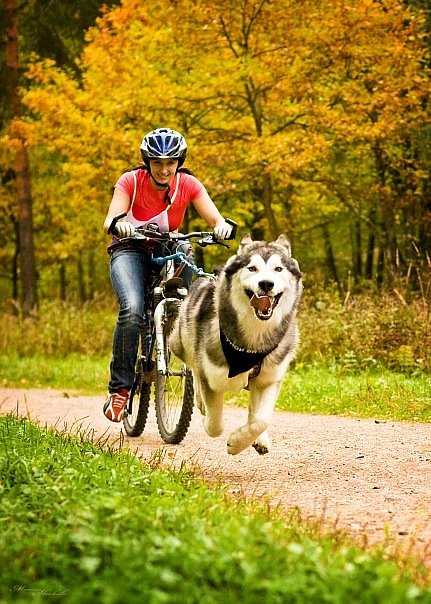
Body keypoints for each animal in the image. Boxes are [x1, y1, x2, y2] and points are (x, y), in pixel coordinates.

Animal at [170, 234, 304, 456]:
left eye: (278, 269)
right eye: (252, 268)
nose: (266, 284)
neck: (252, 344)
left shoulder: (270, 378)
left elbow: (262, 419)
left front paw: (242, 440)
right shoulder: (212, 377)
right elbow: (215, 425)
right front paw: (220, 432)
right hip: (180, 344)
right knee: (193, 367)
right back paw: (200, 401)